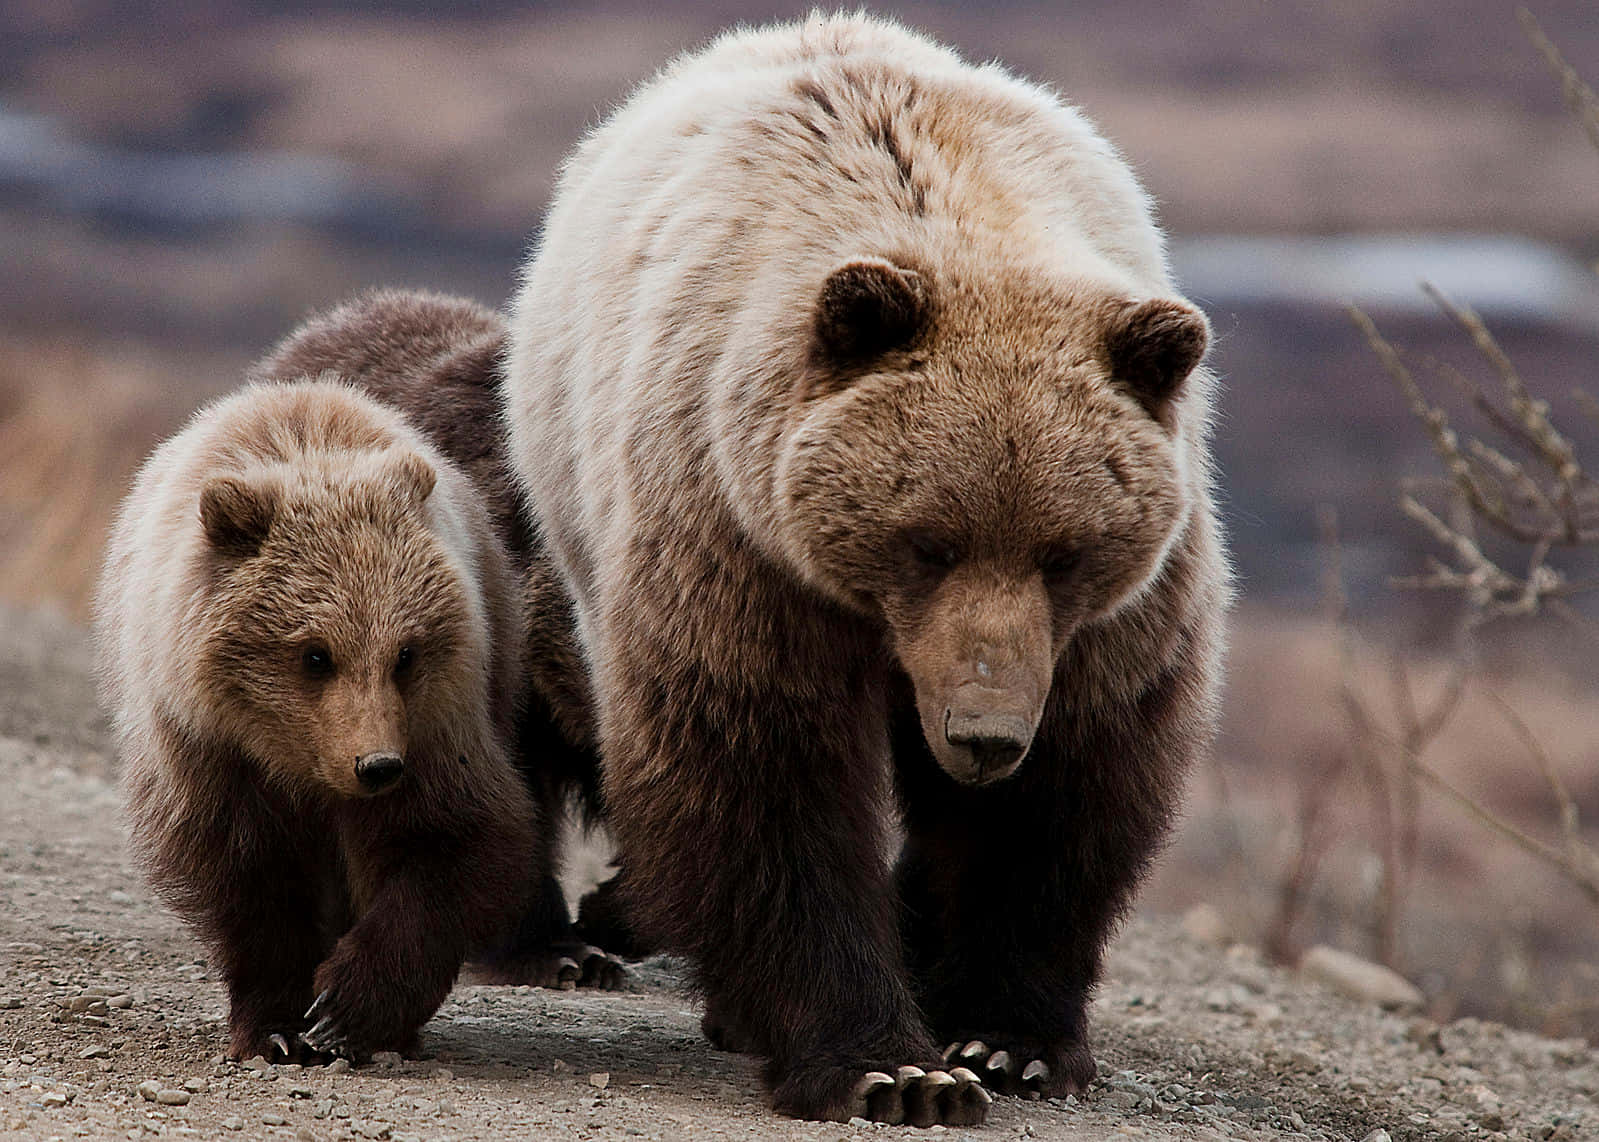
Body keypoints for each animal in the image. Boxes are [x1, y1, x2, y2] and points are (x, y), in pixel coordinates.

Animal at [95, 378, 545, 1061]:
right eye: (315, 653)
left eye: (405, 653)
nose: (377, 765)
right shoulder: (210, 750)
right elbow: (249, 879)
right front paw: (279, 1026)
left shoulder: (437, 729)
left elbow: (447, 842)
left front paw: (348, 1011)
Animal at [503, 12, 1229, 1128]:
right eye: (927, 537)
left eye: (1064, 550)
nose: (982, 734)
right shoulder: (739, 537)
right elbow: (766, 777)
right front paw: (889, 1068)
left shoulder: (1109, 621)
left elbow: (1070, 785)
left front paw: (1006, 1039)